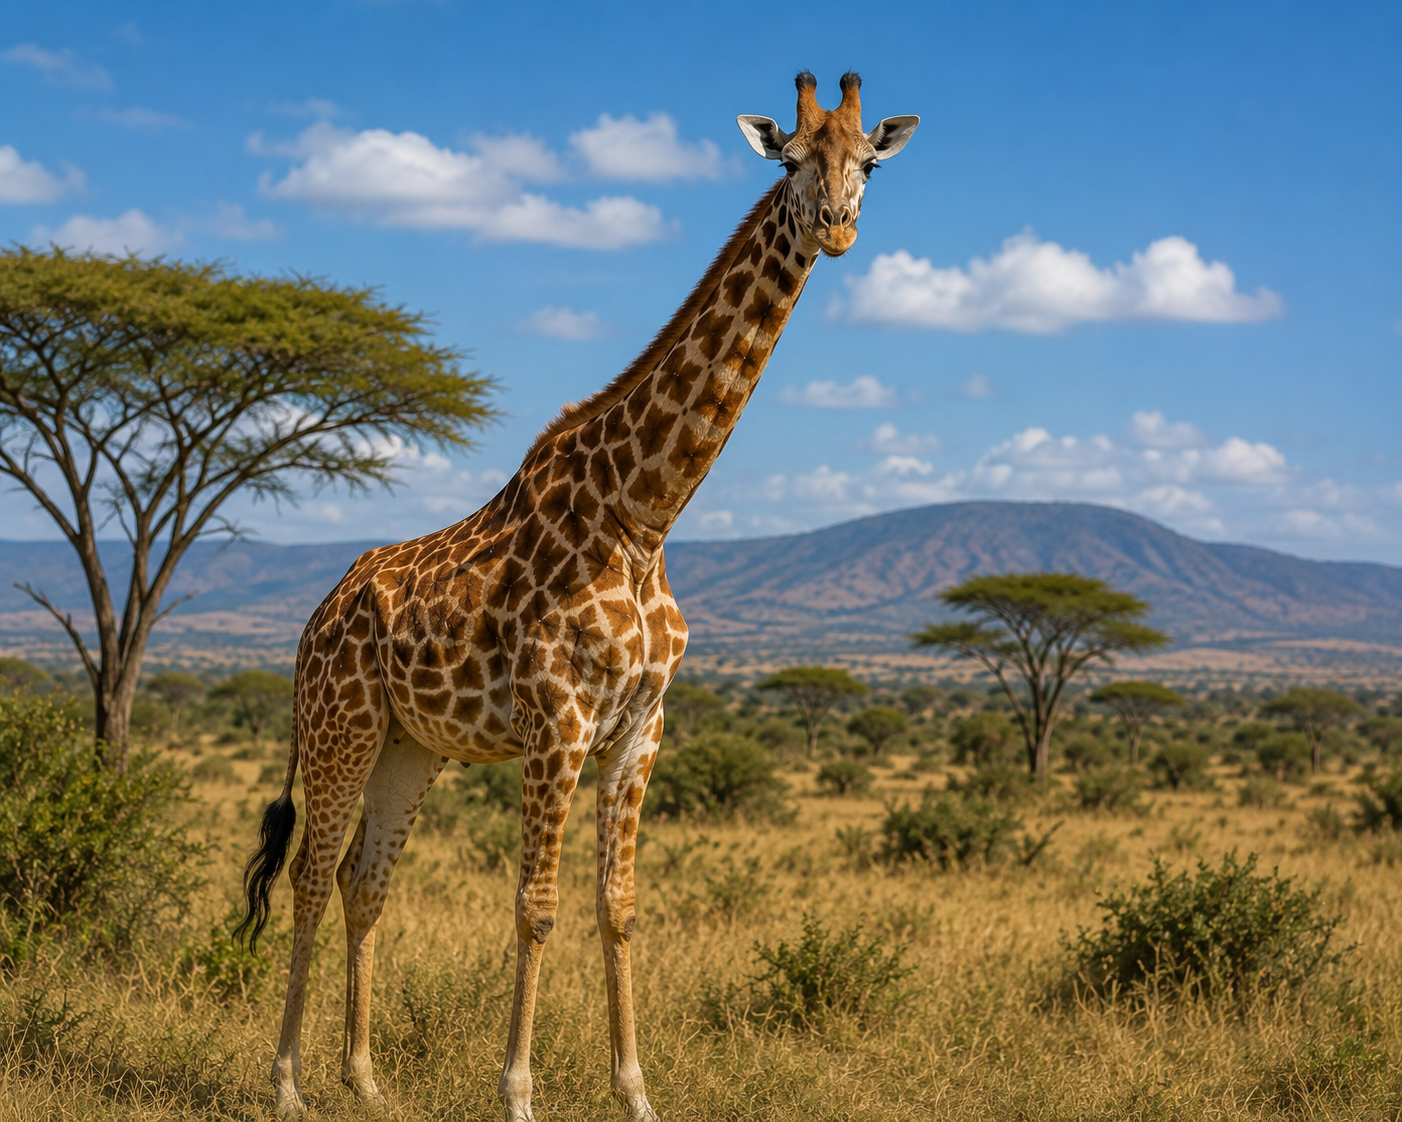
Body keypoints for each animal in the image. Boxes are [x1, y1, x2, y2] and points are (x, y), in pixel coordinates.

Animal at [238, 71, 917, 1122]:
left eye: (869, 164)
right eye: (793, 160)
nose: (837, 227)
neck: (644, 518)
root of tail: (315, 618)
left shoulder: (640, 729)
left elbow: (618, 909)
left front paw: (636, 1092)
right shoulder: (555, 723)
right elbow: (538, 907)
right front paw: (518, 1093)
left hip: (408, 744)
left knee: (363, 879)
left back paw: (367, 1081)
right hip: (339, 724)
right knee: (311, 878)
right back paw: (287, 1087)